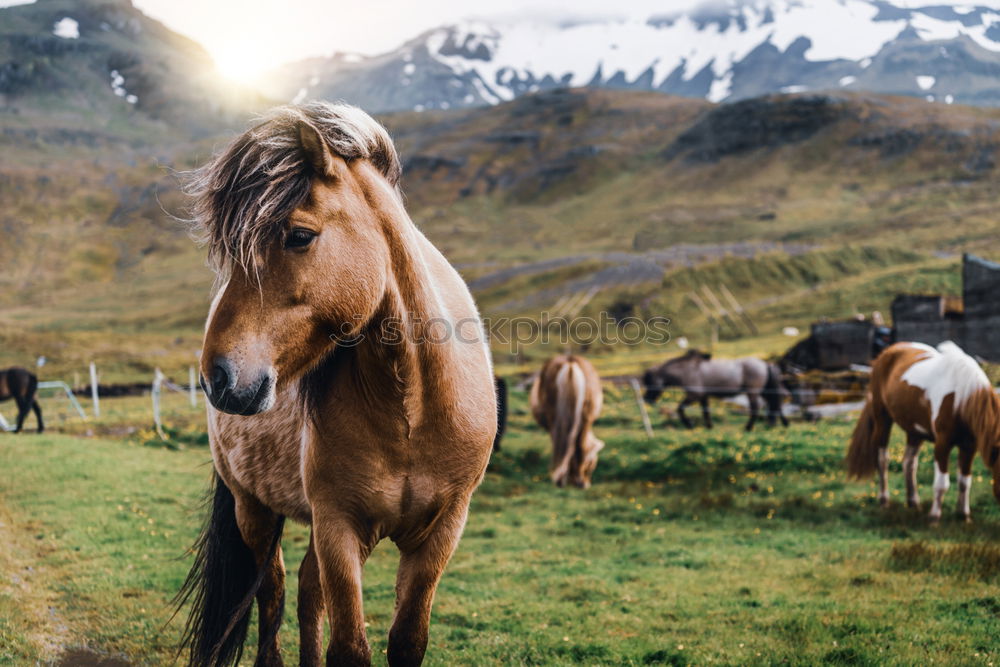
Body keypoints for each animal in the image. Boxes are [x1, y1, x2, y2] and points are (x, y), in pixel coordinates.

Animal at [178, 103, 498, 667]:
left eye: (299, 235)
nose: (218, 378)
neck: (412, 410)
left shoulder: (441, 532)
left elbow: (406, 640)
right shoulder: (339, 526)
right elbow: (348, 646)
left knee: (307, 592)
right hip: (252, 507)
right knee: (273, 592)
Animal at [528, 354, 604, 490]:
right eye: (593, 462)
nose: (587, 482)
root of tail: (570, 362)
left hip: (555, 420)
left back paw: (562, 478)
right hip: (585, 418)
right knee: (577, 445)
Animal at [848, 344, 1000, 520]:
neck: (962, 400)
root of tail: (887, 352)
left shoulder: (969, 447)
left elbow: (964, 481)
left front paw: (964, 515)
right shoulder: (942, 444)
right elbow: (942, 483)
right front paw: (934, 516)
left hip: (915, 432)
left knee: (909, 463)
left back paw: (913, 502)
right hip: (882, 420)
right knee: (882, 459)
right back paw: (884, 500)